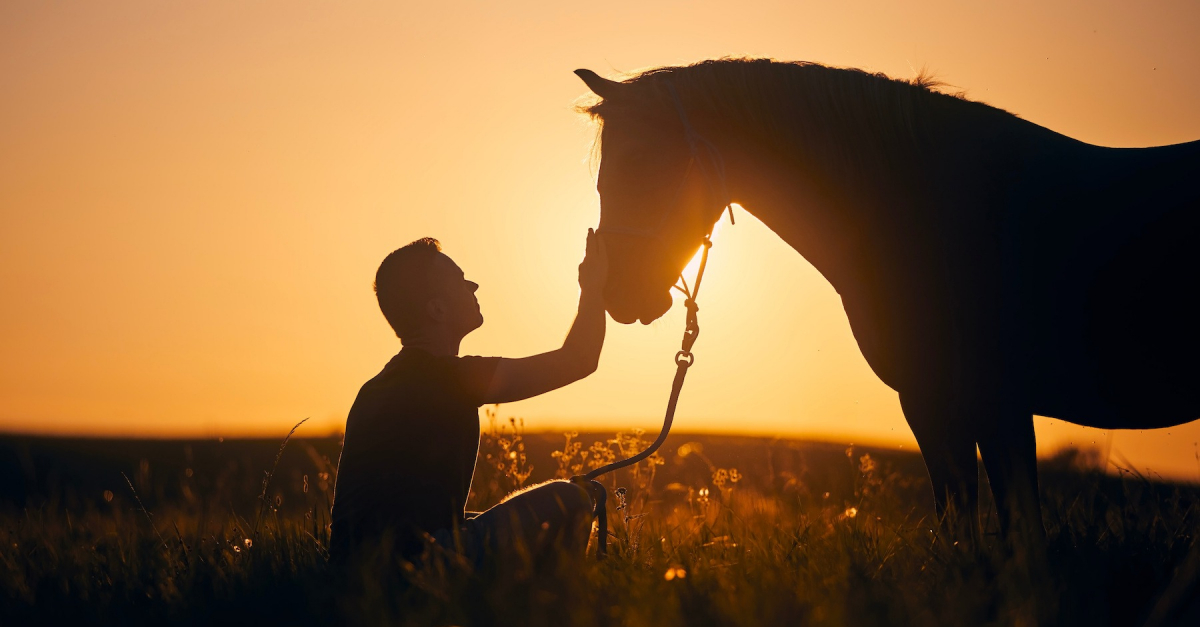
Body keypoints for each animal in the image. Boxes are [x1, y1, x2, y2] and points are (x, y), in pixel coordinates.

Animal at [574, 58, 1200, 542]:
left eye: (636, 163)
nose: (617, 294)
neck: (926, 210)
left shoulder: (990, 401)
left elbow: (1011, 530)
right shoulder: (937, 402)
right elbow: (965, 521)